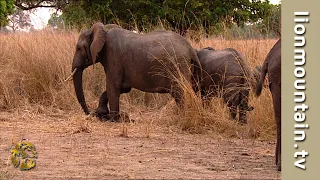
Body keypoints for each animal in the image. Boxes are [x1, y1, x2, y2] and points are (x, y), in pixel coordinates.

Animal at [68, 22, 200, 121]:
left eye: (79, 48)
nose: (90, 113)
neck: (103, 30)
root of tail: (191, 50)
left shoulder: (113, 56)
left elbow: (113, 86)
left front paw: (111, 119)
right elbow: (124, 88)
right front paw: (103, 112)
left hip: (179, 66)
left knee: (180, 92)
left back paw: (183, 118)